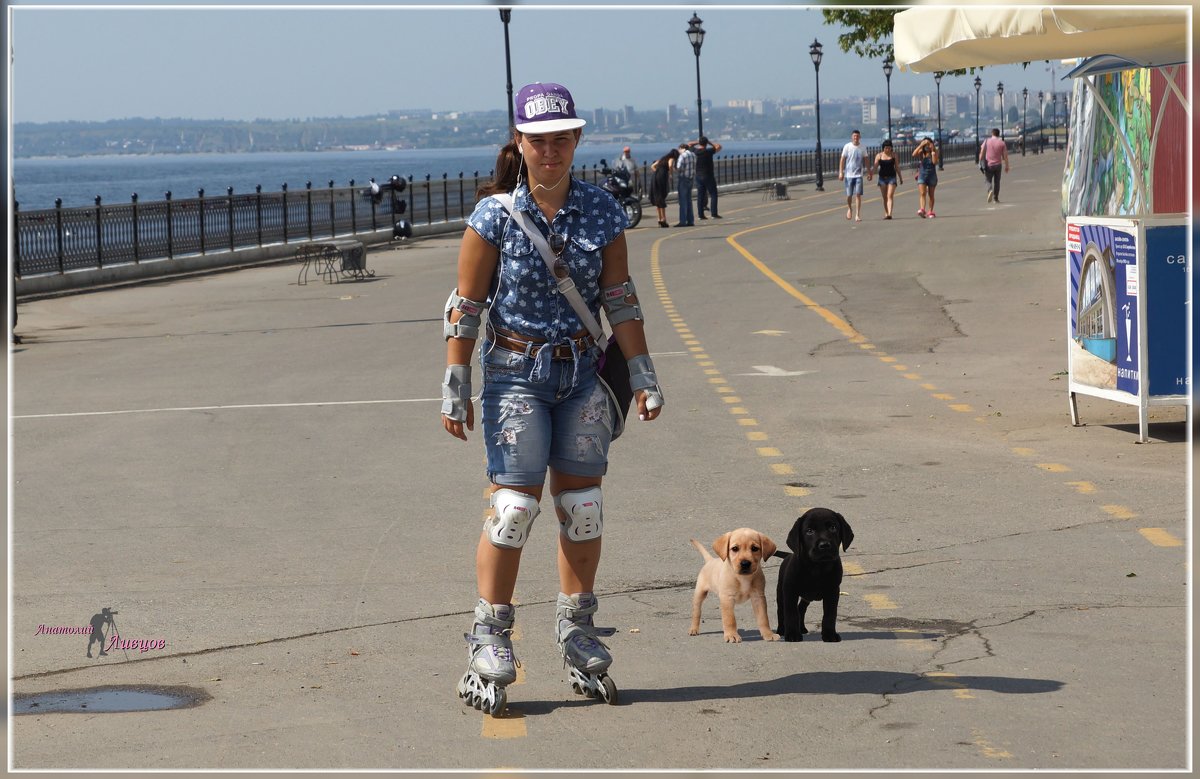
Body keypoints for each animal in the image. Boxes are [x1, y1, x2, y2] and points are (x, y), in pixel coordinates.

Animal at [772, 506, 849, 643]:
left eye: (833, 527)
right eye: (809, 531)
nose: (824, 545)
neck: (817, 568)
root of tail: (788, 556)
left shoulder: (833, 591)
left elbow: (830, 615)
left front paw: (829, 635)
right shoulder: (790, 591)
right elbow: (790, 613)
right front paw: (792, 635)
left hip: (806, 597)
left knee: (801, 608)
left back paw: (801, 628)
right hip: (781, 592)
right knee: (781, 611)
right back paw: (782, 630)